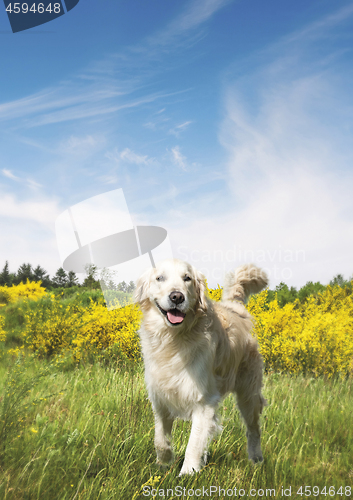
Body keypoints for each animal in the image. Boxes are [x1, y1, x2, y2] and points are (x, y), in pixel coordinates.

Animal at [134, 260, 266, 474]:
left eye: (187, 278)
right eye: (159, 278)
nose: (177, 296)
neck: (173, 339)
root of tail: (234, 307)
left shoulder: (204, 401)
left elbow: (194, 444)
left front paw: (188, 474)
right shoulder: (160, 396)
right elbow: (160, 438)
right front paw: (163, 463)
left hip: (248, 394)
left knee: (253, 429)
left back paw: (256, 459)